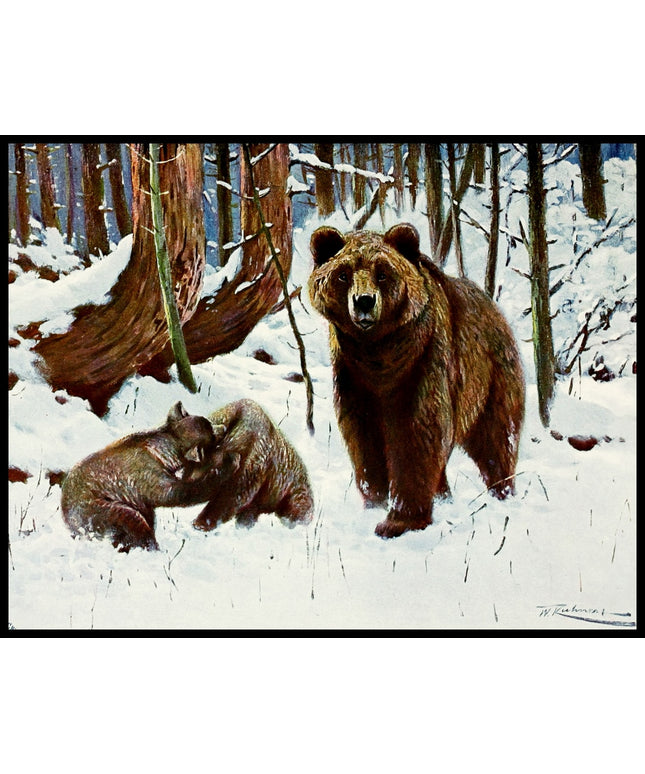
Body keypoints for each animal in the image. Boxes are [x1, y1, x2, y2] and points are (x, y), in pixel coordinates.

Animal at [61, 402, 230, 551]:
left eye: (208, 422)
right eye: (212, 435)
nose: (223, 427)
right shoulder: (144, 474)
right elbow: (173, 494)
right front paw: (221, 471)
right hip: (97, 511)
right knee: (131, 521)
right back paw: (152, 548)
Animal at [308, 222, 525, 539]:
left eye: (383, 272)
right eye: (343, 274)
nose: (364, 301)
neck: (378, 353)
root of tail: (493, 307)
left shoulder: (422, 364)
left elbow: (418, 435)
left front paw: (399, 519)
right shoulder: (354, 378)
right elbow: (363, 440)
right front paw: (375, 502)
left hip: (490, 377)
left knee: (496, 438)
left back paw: (502, 492)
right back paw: (445, 496)